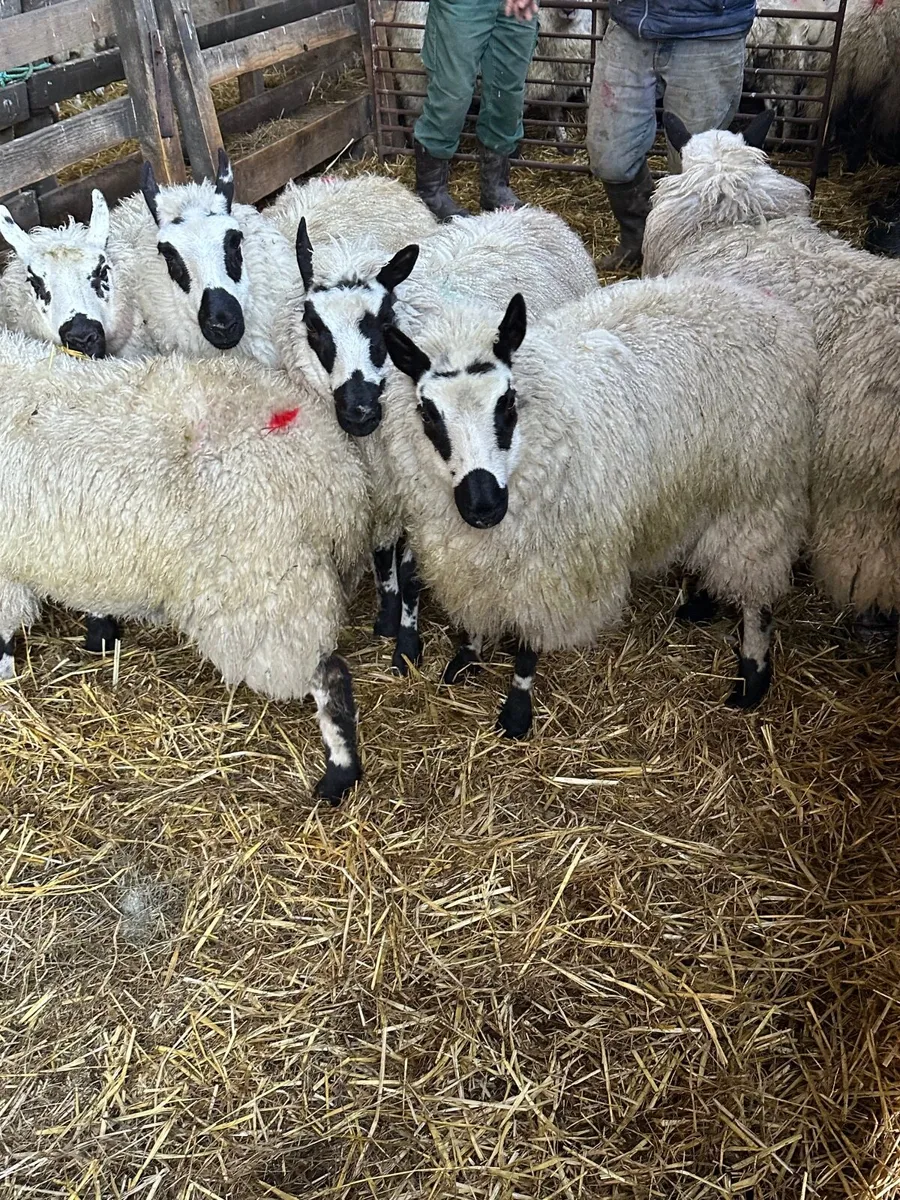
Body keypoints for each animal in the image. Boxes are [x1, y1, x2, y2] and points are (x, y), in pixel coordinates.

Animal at [277, 204, 599, 672]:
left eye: (384, 322)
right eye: (313, 327)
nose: (359, 411)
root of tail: (531, 211)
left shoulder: (424, 495)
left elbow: (412, 572)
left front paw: (407, 645)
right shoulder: (384, 489)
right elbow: (381, 555)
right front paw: (386, 617)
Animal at [376, 277, 816, 735]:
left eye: (508, 402)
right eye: (428, 413)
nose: (484, 505)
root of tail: (768, 306)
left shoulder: (553, 574)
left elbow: (529, 647)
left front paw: (516, 713)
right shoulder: (468, 564)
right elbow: (474, 615)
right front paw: (466, 658)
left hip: (759, 493)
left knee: (756, 591)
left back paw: (752, 674)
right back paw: (700, 602)